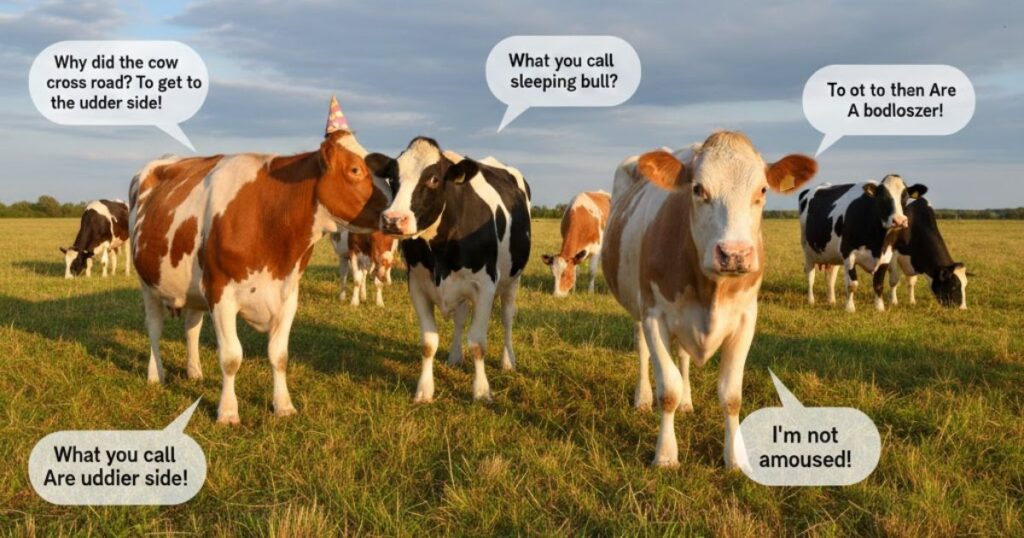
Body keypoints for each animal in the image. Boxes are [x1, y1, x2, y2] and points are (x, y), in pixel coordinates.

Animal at [129, 99, 391, 425]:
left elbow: (279, 355)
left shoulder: (288, 294)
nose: (397, 210)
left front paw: (283, 405)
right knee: (154, 328)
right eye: (355, 169)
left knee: (191, 328)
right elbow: (231, 357)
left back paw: (194, 371)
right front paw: (228, 412)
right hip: (148, 283)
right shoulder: (220, 292)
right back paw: (156, 375)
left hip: (192, 288)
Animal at [367, 137, 531, 403]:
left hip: (512, 280)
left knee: (507, 318)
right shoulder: (417, 286)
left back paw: (508, 361)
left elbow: (477, 343)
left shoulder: (485, 287)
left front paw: (481, 391)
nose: (393, 220)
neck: (439, 250)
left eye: (433, 179)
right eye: (392, 177)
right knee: (460, 317)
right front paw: (424, 390)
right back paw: (455, 357)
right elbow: (428, 342)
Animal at [602, 131, 817, 468]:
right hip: (637, 308)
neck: (711, 290)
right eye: (698, 189)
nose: (735, 254)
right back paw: (642, 398)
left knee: (684, 357)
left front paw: (735, 458)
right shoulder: (654, 316)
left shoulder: (745, 319)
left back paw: (688, 403)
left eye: (762, 190)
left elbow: (731, 395)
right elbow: (668, 390)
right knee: (642, 350)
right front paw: (666, 455)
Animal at [798, 175, 922, 312]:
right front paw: (850, 308)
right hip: (808, 251)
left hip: (832, 255)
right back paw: (811, 300)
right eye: (883, 197)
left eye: (905, 197)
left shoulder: (886, 256)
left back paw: (831, 301)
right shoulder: (849, 254)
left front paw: (880, 308)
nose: (899, 220)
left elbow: (878, 284)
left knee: (830, 277)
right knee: (810, 276)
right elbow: (852, 284)